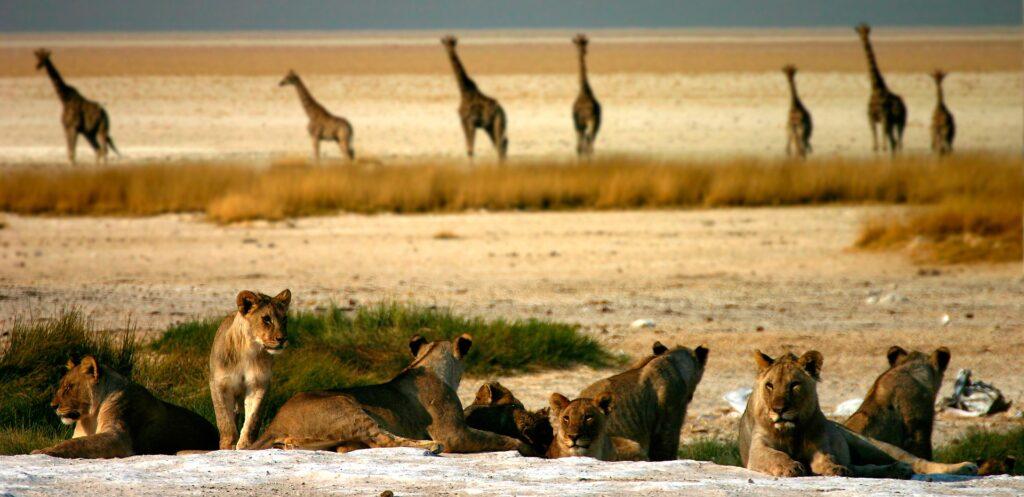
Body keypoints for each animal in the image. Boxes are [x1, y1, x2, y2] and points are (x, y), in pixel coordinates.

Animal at [31, 356, 218, 457]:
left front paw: (42, 451)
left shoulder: (118, 436)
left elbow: (77, 444)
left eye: (69, 387)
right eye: (62, 385)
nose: (53, 406)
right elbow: (75, 441)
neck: (90, 417)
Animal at [206, 286, 290, 448]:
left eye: (284, 319)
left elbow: (252, 420)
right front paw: (227, 446)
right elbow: (225, 421)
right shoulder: (219, 385)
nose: (282, 339)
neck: (249, 351)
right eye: (266, 319)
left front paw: (245, 445)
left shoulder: (259, 385)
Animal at [250, 334, 524, 452]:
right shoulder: (454, 433)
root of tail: (275, 423)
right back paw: (431, 445)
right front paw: (525, 446)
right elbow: (499, 438)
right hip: (347, 407)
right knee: (384, 439)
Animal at [737, 348, 974, 477]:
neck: (791, 430)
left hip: (873, 446)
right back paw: (897, 471)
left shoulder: (822, 443)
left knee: (917, 462)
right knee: (866, 468)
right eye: (769, 386)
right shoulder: (757, 450)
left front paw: (832, 467)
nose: (779, 410)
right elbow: (775, 455)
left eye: (794, 385)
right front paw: (791, 467)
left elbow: (827, 457)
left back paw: (964, 467)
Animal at [851, 22, 909, 152]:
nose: (862, 37)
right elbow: (877, 140)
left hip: (897, 121)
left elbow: (879, 141)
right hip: (897, 121)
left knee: (897, 141)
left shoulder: (878, 118)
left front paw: (881, 148)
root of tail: (902, 105)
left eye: (864, 31)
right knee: (897, 141)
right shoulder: (876, 119)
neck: (876, 87)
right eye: (860, 31)